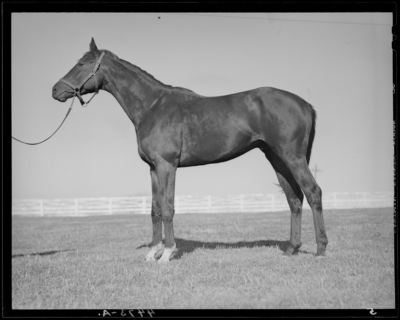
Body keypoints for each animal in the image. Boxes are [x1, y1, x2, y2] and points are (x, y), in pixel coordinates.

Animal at [52, 38, 328, 262]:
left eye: (81, 64)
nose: (55, 90)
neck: (152, 106)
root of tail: (304, 104)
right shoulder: (153, 168)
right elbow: (155, 210)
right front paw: (152, 253)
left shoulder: (167, 165)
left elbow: (168, 207)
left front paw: (167, 253)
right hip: (276, 157)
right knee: (294, 199)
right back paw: (292, 248)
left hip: (292, 157)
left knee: (313, 192)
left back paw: (321, 249)